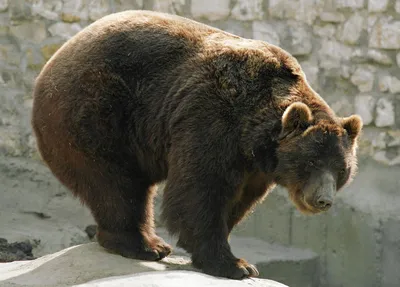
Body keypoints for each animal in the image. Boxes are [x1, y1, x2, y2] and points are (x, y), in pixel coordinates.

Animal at [30, 10, 362, 280]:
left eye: (341, 170)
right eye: (311, 162)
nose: (323, 199)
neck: (255, 139)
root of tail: (52, 62)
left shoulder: (254, 168)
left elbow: (237, 200)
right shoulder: (212, 120)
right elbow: (200, 189)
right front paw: (236, 264)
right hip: (95, 112)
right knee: (116, 183)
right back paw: (143, 244)